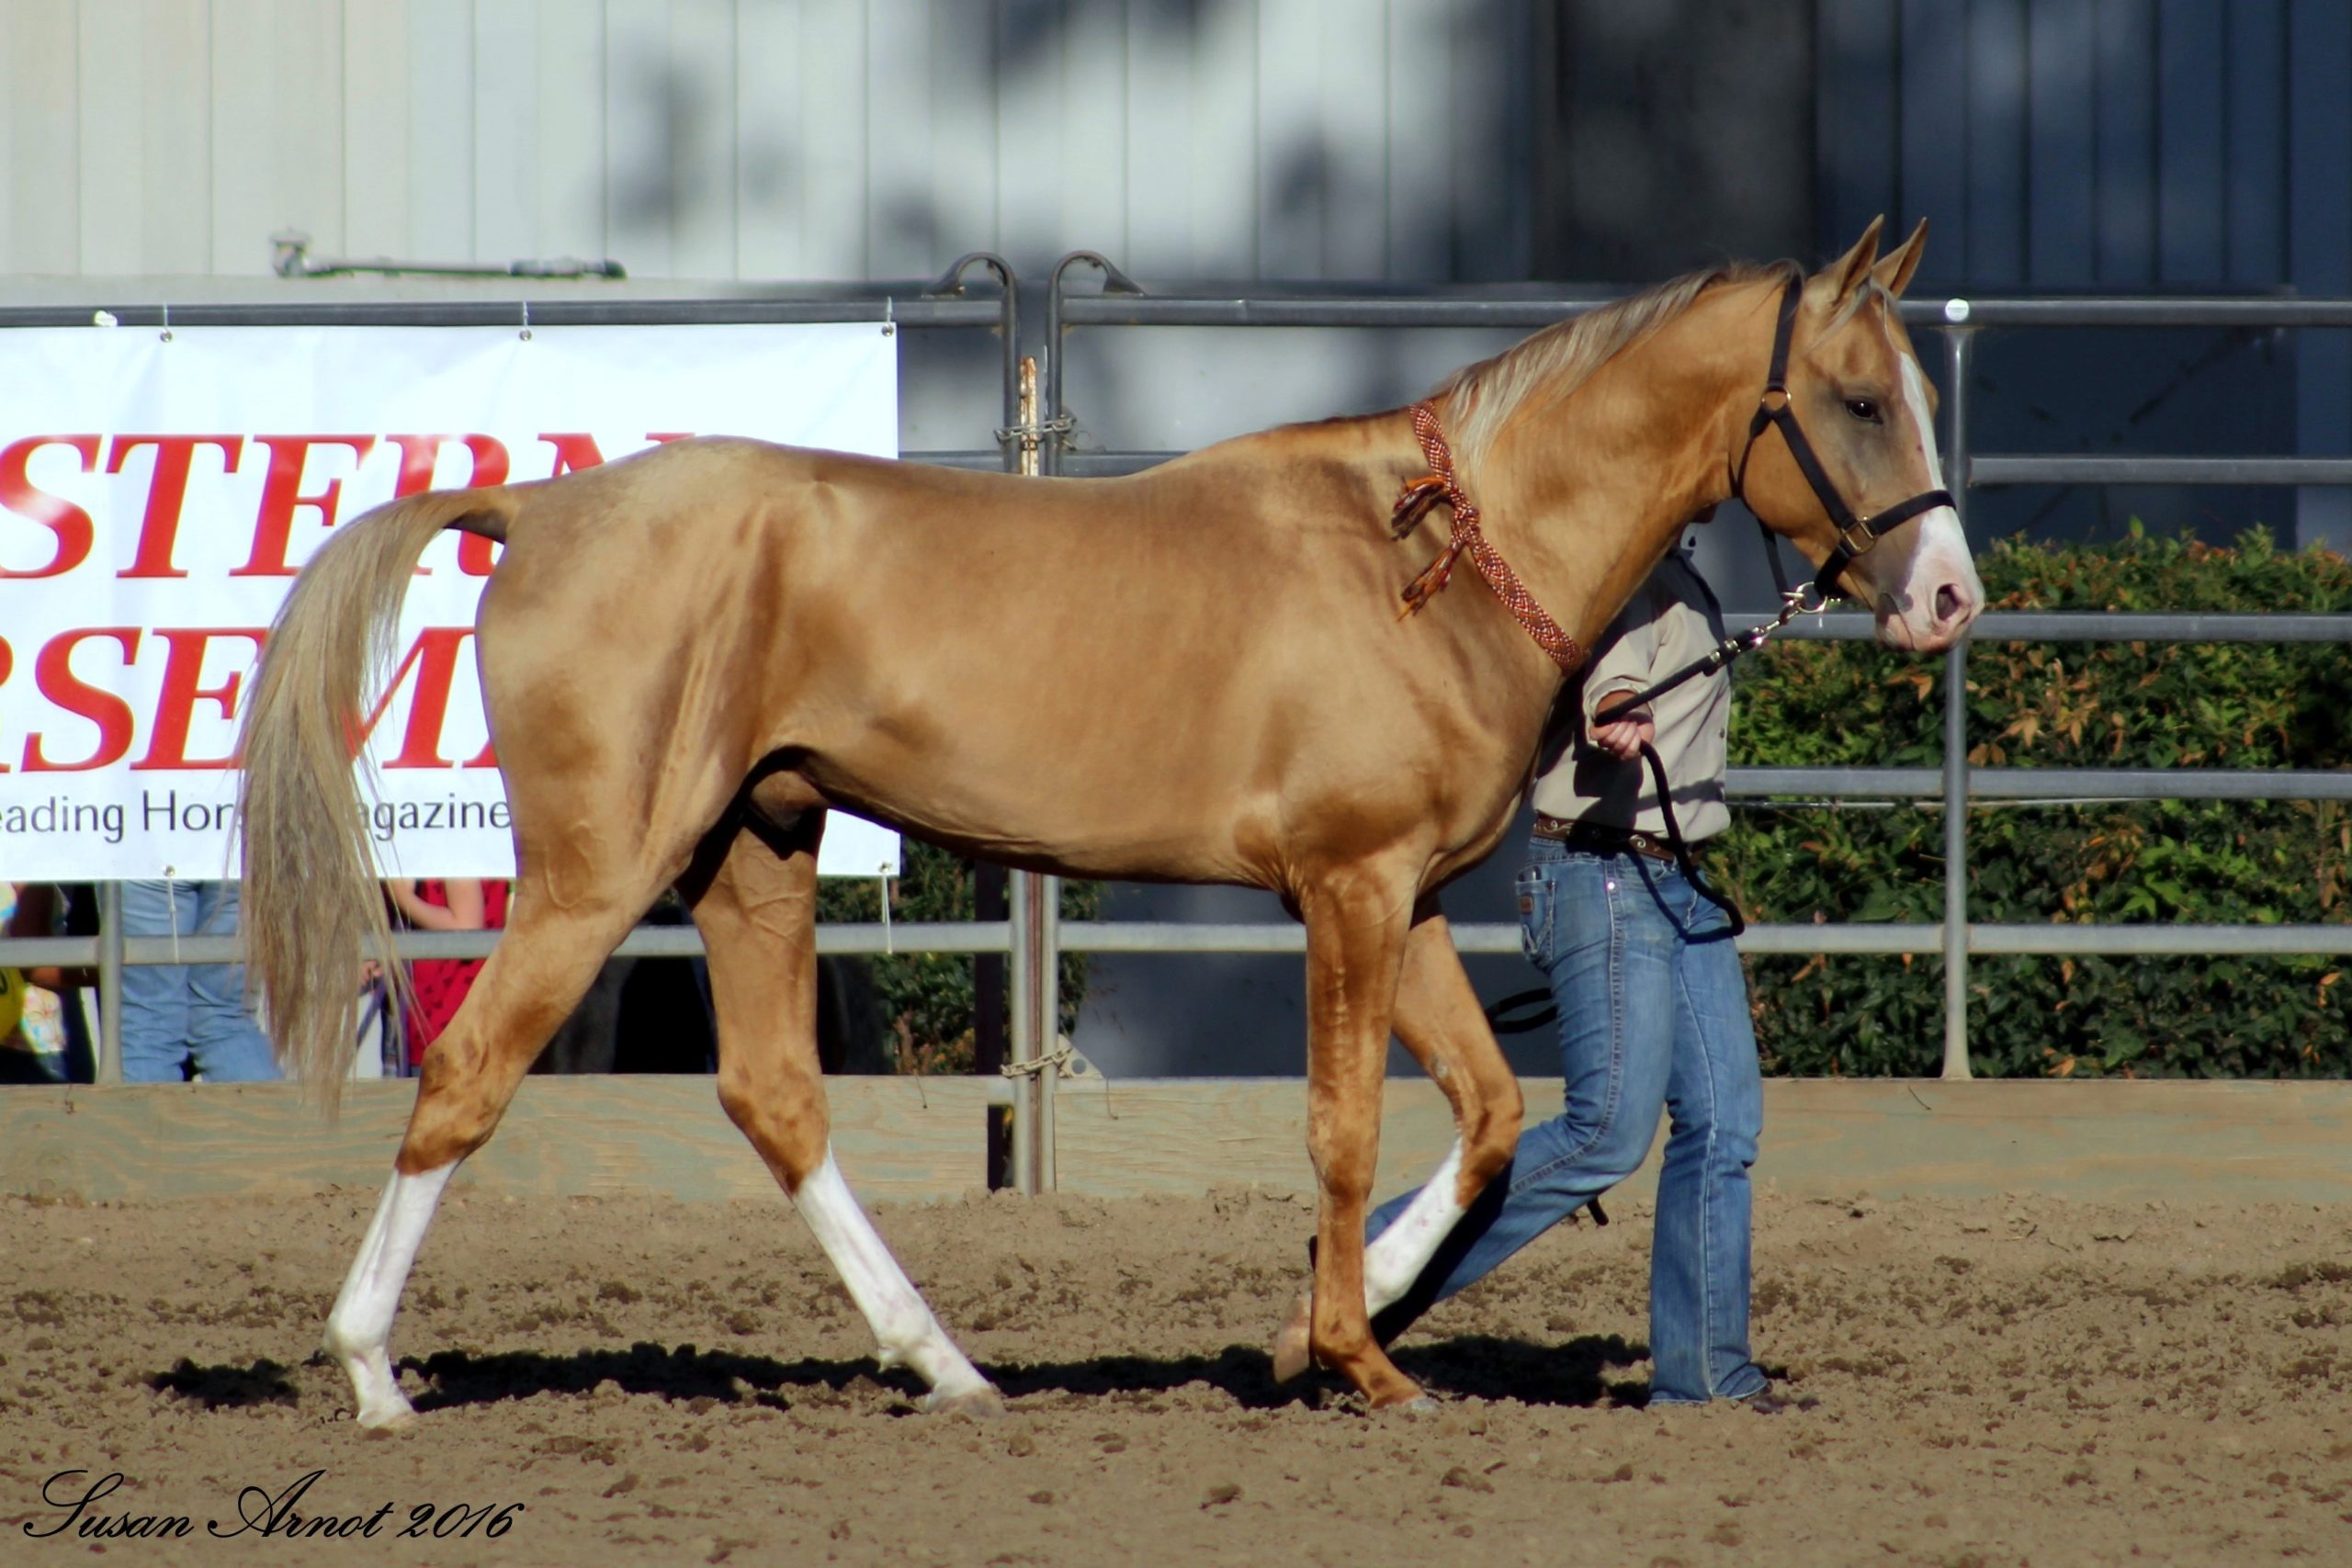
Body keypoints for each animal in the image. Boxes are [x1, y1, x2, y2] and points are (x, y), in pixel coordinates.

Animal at [238, 217, 1975, 1419]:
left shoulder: (1403, 895)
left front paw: (1325, 1323)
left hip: (754, 854)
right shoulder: (1347, 890)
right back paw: (374, 1371)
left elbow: (1486, 1118)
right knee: (469, 1072)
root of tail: (538, 508)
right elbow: (1345, 1126)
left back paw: (946, 1363)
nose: (1950, 597)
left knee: (776, 1099)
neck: (1429, 555)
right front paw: (1359, 1357)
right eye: (1853, 398)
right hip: (602, 877)